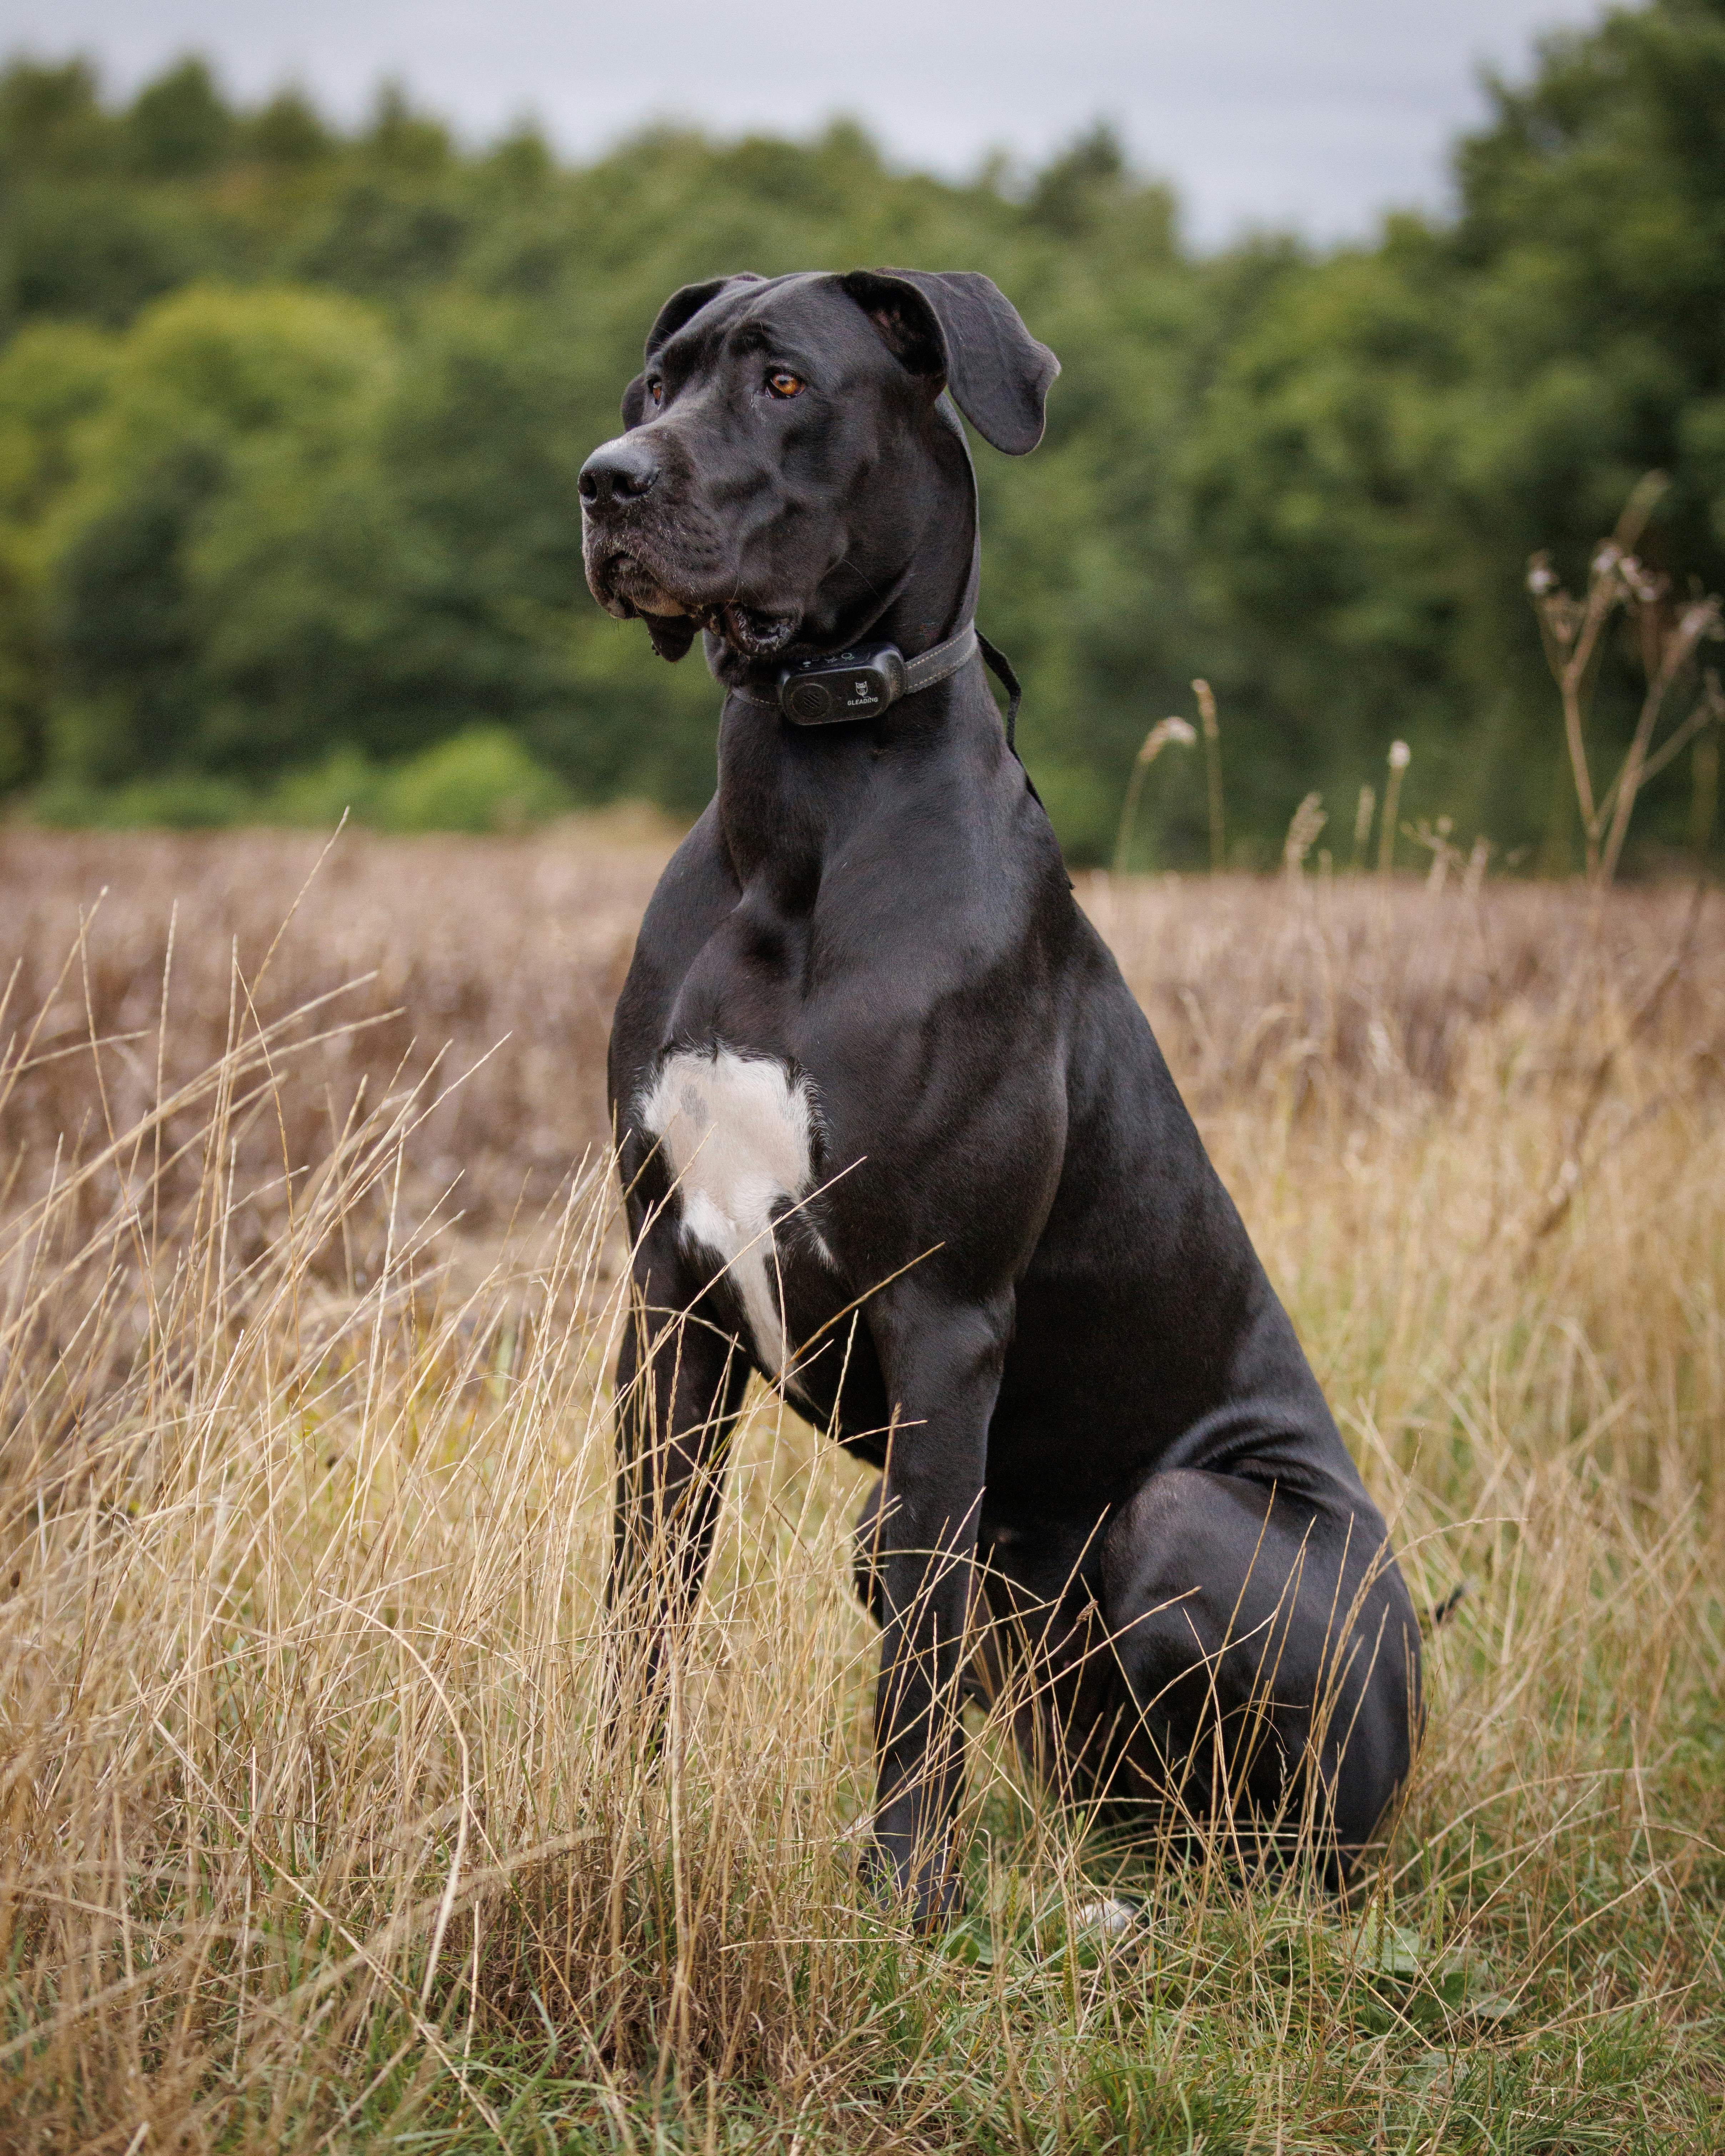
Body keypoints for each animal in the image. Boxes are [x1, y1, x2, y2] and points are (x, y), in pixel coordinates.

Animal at [578, 265, 1414, 1923]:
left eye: (781, 382)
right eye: (657, 382)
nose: (604, 481)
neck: (804, 805)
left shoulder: (942, 1315)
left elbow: (914, 1652)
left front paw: (905, 1898)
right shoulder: (671, 1293)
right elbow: (651, 1583)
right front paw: (615, 1813)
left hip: (1197, 1531)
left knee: (1270, 1843)